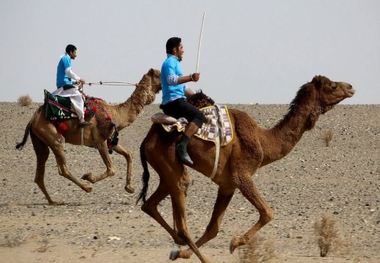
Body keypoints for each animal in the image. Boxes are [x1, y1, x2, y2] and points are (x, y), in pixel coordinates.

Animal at [16, 68, 160, 206]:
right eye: (159, 74)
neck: (116, 114)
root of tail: (33, 120)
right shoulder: (100, 141)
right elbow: (111, 169)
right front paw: (89, 177)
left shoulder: (111, 141)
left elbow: (129, 155)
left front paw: (129, 187)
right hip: (53, 137)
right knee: (62, 168)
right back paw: (86, 187)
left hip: (40, 141)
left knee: (40, 172)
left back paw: (53, 201)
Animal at [138, 75, 354, 262]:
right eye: (332, 86)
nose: (351, 87)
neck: (263, 141)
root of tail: (146, 141)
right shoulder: (242, 176)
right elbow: (267, 213)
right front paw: (235, 243)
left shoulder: (227, 185)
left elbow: (213, 228)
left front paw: (181, 253)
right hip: (170, 164)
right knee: (180, 212)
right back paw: (199, 254)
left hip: (165, 171)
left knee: (149, 205)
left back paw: (178, 243)